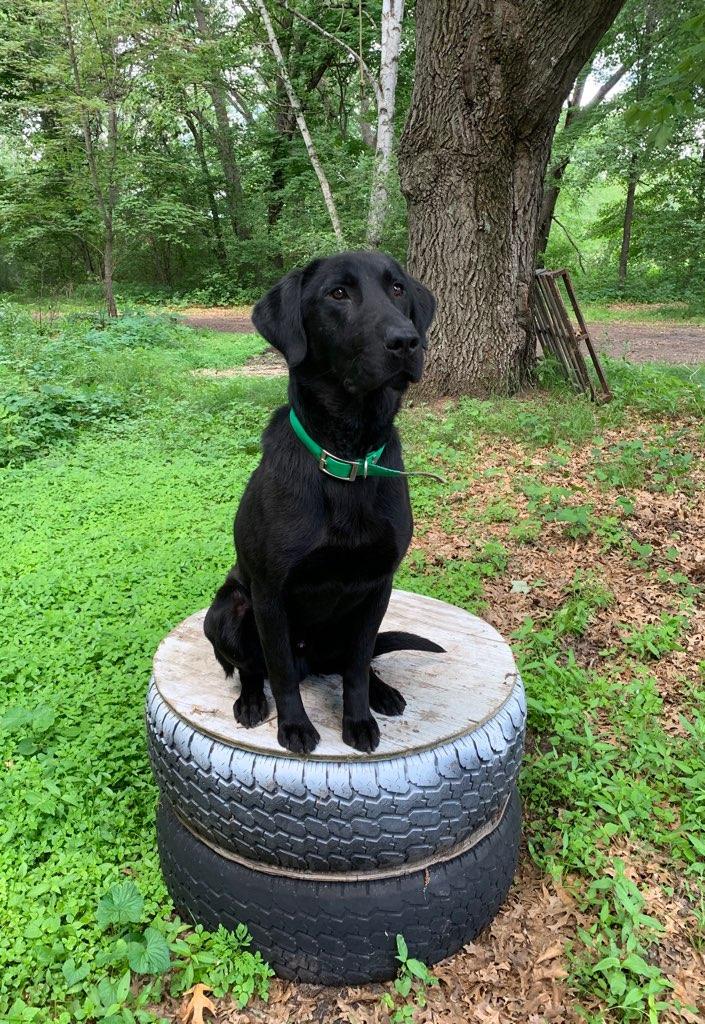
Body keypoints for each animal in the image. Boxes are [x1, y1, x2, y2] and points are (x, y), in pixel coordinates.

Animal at [200, 251, 440, 757]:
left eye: (397, 289)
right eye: (338, 294)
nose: (406, 341)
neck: (348, 455)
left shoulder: (378, 586)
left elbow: (357, 666)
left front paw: (359, 718)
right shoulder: (270, 594)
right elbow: (280, 671)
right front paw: (294, 726)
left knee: (355, 661)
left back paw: (382, 690)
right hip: (228, 609)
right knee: (253, 668)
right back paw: (251, 701)